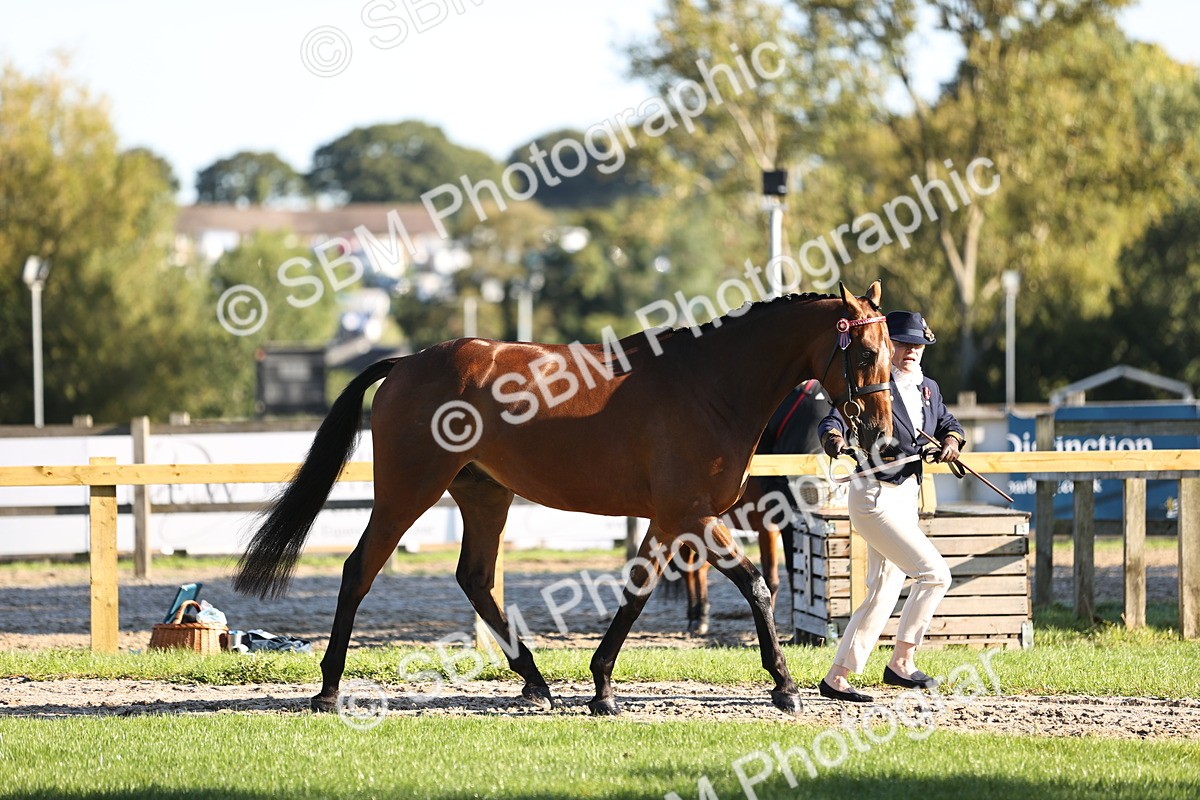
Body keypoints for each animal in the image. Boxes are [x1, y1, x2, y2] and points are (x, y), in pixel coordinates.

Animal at [233, 281, 894, 716]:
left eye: (890, 353)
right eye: (864, 353)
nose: (882, 434)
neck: (708, 385)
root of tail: (407, 363)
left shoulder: (669, 519)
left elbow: (636, 593)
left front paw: (601, 688)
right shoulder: (692, 514)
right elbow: (755, 584)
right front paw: (783, 686)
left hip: (484, 495)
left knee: (475, 578)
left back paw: (534, 680)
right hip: (407, 490)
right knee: (360, 569)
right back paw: (328, 688)